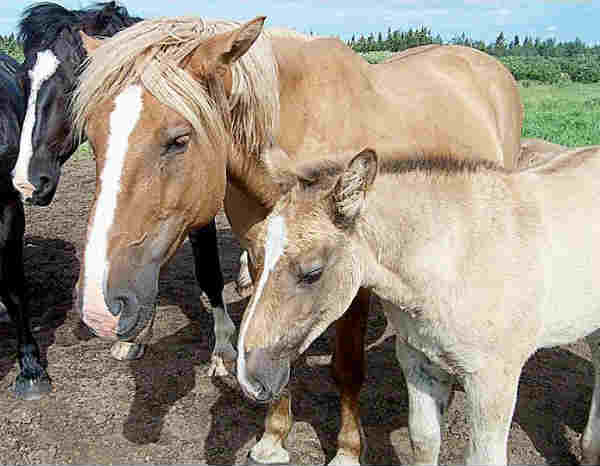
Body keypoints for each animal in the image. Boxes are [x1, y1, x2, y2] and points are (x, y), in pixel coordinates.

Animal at [11, 0, 234, 372]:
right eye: (24, 79)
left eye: (75, 84)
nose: (26, 182)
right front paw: (135, 338)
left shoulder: (200, 206)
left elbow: (209, 272)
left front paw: (224, 348)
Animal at [70, 16, 520, 464]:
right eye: (92, 137)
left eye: (179, 139)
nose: (99, 307)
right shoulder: (263, 260)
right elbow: (270, 343)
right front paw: (273, 438)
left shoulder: (351, 275)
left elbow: (347, 367)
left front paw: (347, 450)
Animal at [238, 147, 600, 464]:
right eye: (253, 252)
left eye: (313, 273)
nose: (249, 379)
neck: (458, 256)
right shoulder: (417, 358)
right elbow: (424, 440)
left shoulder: (493, 380)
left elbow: (483, 457)